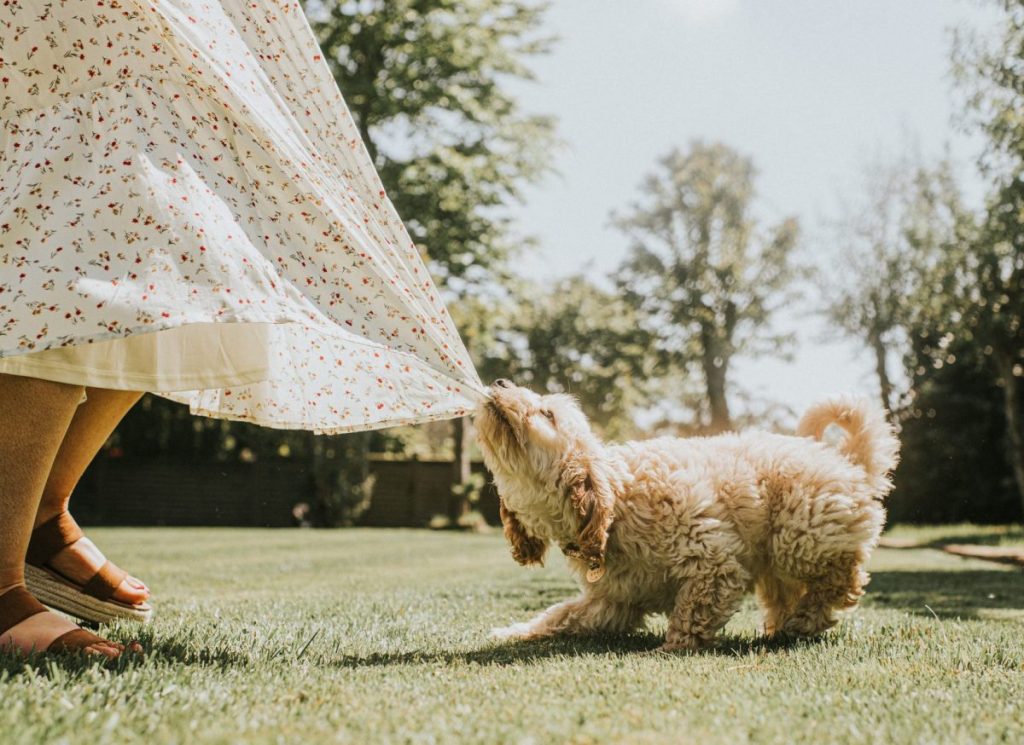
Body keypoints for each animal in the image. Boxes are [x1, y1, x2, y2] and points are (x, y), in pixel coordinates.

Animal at [475, 380, 901, 650]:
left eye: (546, 413)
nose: (499, 380)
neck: (618, 504)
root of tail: (851, 464)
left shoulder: (713, 564)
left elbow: (692, 611)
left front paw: (670, 649)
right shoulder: (611, 603)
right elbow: (560, 616)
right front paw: (513, 632)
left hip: (799, 538)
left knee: (844, 581)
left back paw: (804, 620)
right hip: (778, 564)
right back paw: (784, 628)